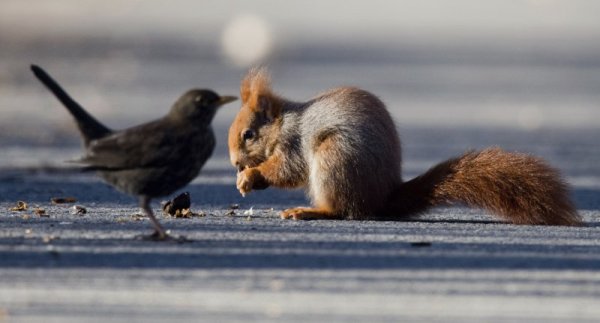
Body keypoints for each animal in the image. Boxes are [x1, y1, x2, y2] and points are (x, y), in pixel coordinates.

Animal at [226, 67, 580, 227]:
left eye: (248, 134)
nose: (233, 163)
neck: (284, 123)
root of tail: (382, 197)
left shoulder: (295, 144)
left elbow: (286, 170)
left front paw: (250, 177)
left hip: (334, 157)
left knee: (343, 210)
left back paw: (309, 211)